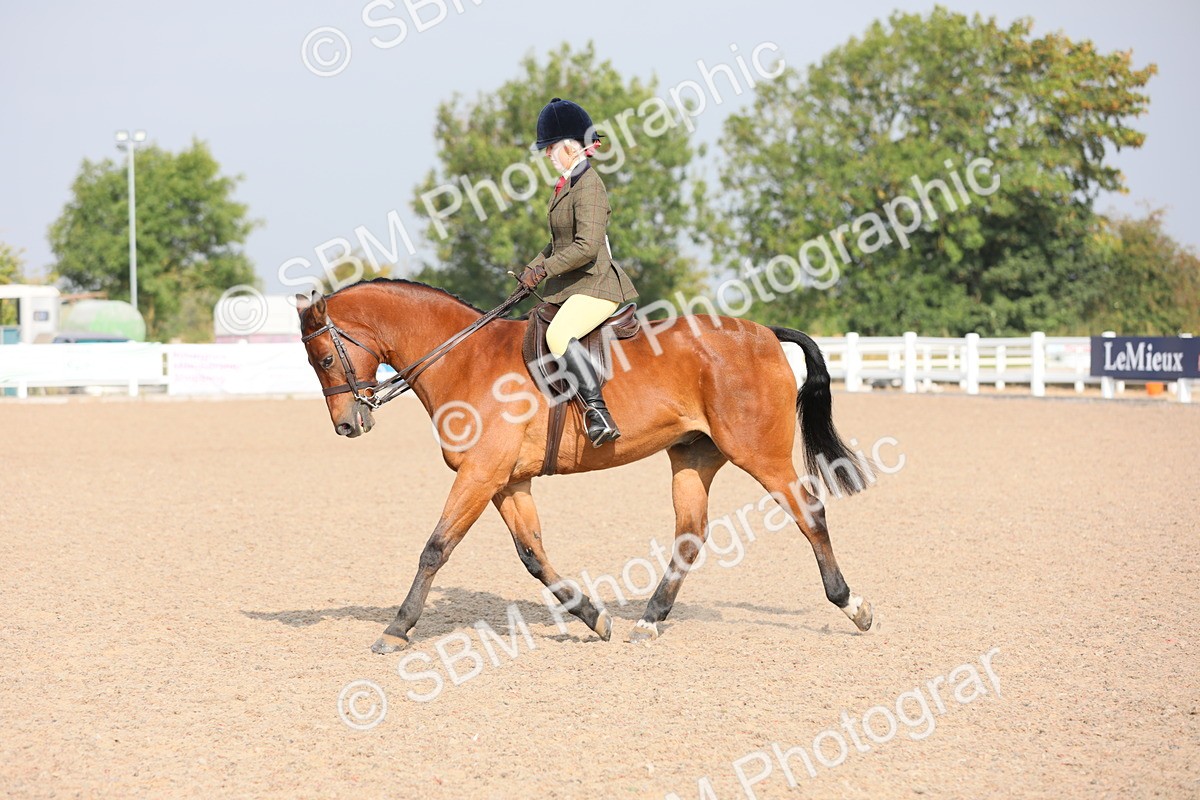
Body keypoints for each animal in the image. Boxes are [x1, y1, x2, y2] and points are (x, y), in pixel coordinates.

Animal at [295, 278, 874, 654]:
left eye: (322, 359)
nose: (347, 425)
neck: (463, 358)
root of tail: (764, 333)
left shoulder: (480, 475)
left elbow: (436, 548)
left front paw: (397, 629)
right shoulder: (508, 482)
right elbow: (533, 556)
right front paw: (593, 618)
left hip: (760, 453)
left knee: (809, 513)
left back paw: (852, 605)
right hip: (693, 455)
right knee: (690, 534)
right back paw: (648, 621)